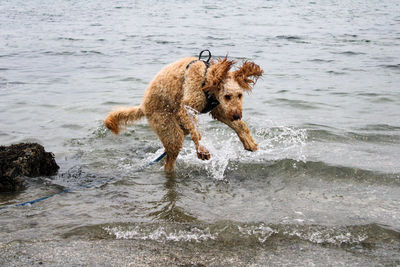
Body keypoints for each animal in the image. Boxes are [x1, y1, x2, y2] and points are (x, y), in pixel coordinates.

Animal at [104, 52, 264, 174]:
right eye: (227, 96)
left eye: (240, 95)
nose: (237, 115)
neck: (206, 79)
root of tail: (144, 106)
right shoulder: (187, 107)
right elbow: (197, 133)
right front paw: (202, 149)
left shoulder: (218, 110)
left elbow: (239, 126)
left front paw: (248, 142)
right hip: (167, 126)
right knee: (170, 159)